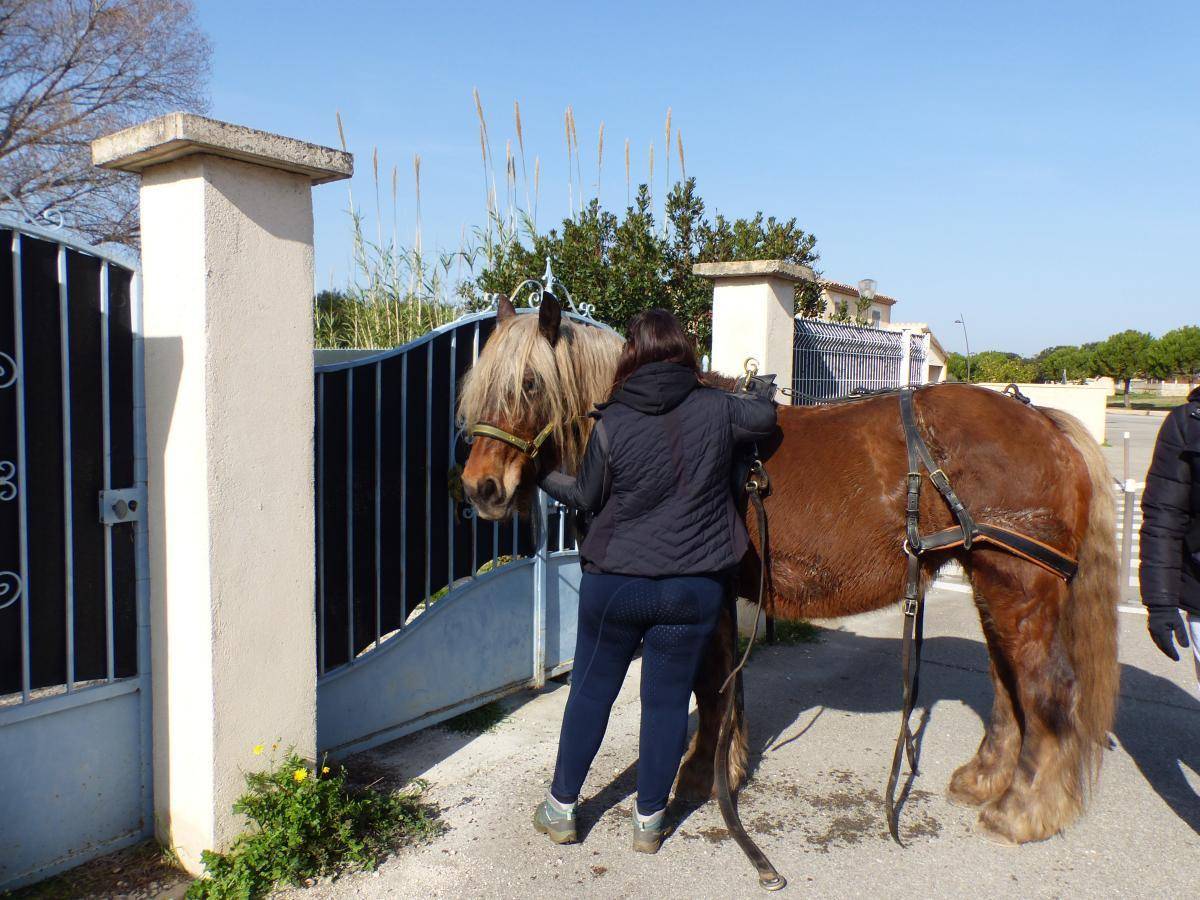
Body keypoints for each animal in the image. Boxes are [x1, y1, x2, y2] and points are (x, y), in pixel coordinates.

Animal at [456, 296, 1113, 844]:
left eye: (530, 383)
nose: (481, 489)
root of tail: (1044, 422)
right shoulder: (720, 595)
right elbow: (722, 686)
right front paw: (724, 766)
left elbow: (710, 684)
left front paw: (698, 776)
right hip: (993, 582)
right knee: (1007, 685)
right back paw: (985, 778)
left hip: (1018, 585)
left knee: (1046, 689)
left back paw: (1023, 809)